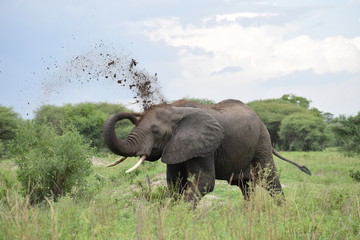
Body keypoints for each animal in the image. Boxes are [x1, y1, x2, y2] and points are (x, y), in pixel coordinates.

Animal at [102, 99, 310, 206]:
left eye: (156, 131)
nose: (132, 113)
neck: (174, 109)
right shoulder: (176, 146)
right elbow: (175, 183)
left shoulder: (205, 145)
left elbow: (204, 182)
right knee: (245, 186)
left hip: (261, 142)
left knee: (270, 180)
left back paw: (281, 213)